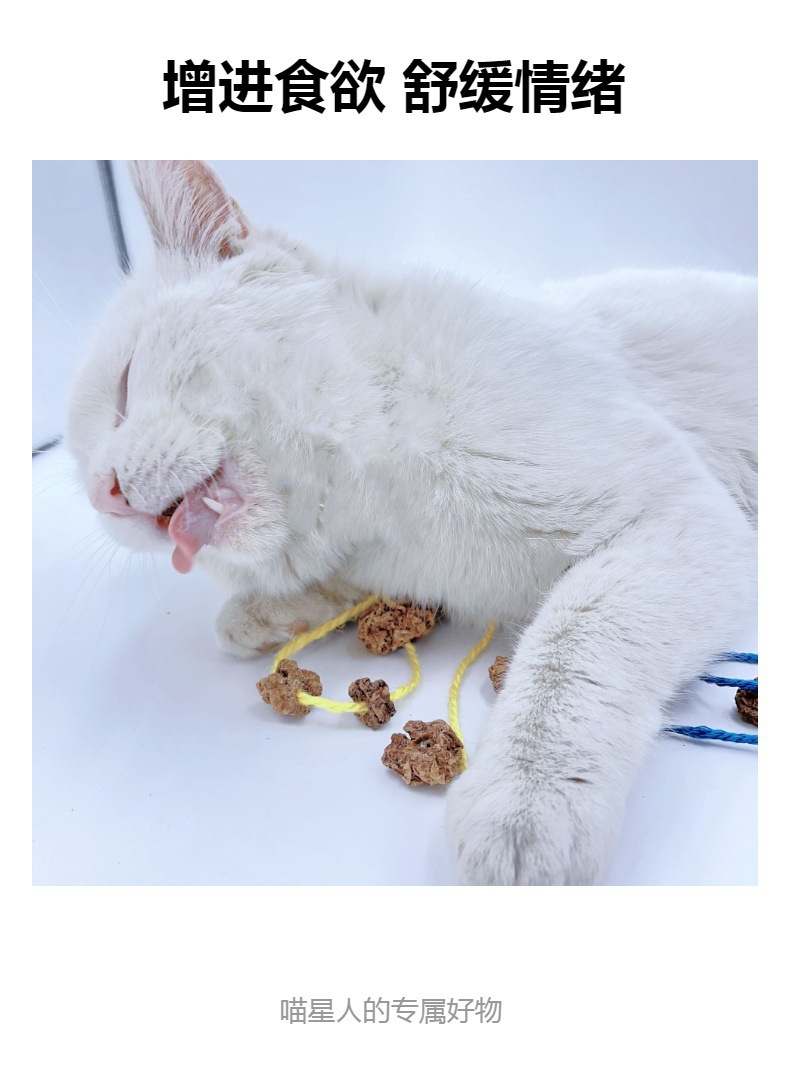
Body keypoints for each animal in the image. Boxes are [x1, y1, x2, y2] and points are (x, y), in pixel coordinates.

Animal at [66, 160, 757, 885]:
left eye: (125, 384)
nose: (104, 498)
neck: (389, 483)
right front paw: (259, 615)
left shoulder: (681, 515)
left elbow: (572, 645)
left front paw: (526, 801)